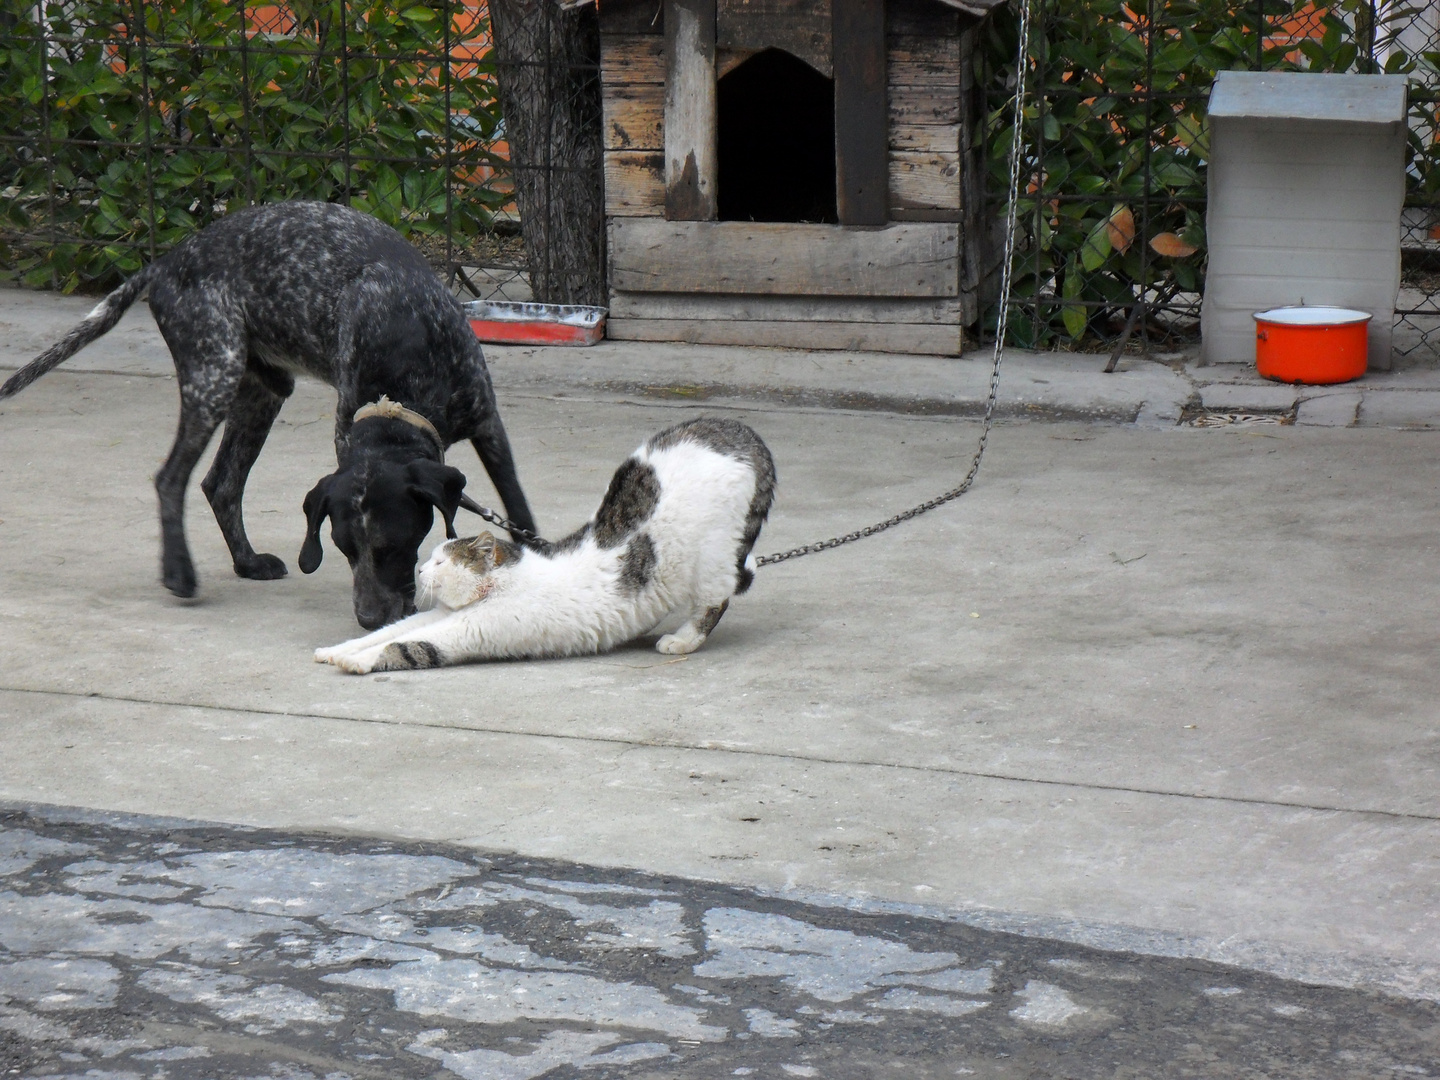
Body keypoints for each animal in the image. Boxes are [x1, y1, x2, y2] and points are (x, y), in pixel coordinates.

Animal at [0, 200, 535, 630]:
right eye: (344, 549)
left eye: (393, 547)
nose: (367, 620)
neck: (405, 377)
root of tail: (166, 262)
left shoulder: (488, 425)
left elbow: (519, 510)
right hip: (214, 373)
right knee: (172, 478)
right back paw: (179, 572)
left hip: (259, 391)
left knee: (220, 483)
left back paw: (246, 562)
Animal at [315, 417, 777, 676]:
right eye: (428, 559)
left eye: (441, 562)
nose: (422, 571)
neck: (500, 583)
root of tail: (740, 433)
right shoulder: (438, 615)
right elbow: (391, 631)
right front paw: (335, 651)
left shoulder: (467, 629)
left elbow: (403, 644)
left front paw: (356, 661)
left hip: (713, 557)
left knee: (715, 600)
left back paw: (682, 641)